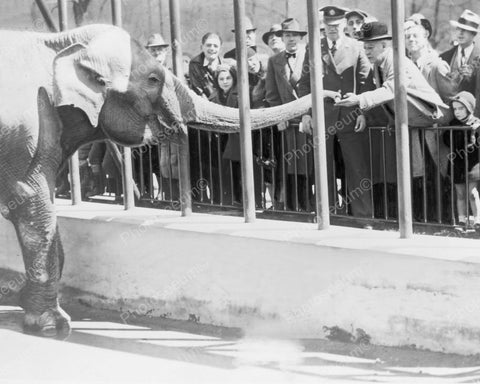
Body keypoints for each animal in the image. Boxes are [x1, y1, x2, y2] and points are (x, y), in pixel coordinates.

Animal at [0, 23, 312, 336]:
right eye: (153, 79)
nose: (326, 94)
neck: (57, 42)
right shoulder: (27, 129)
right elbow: (32, 202)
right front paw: (52, 326)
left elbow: (47, 207)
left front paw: (27, 304)